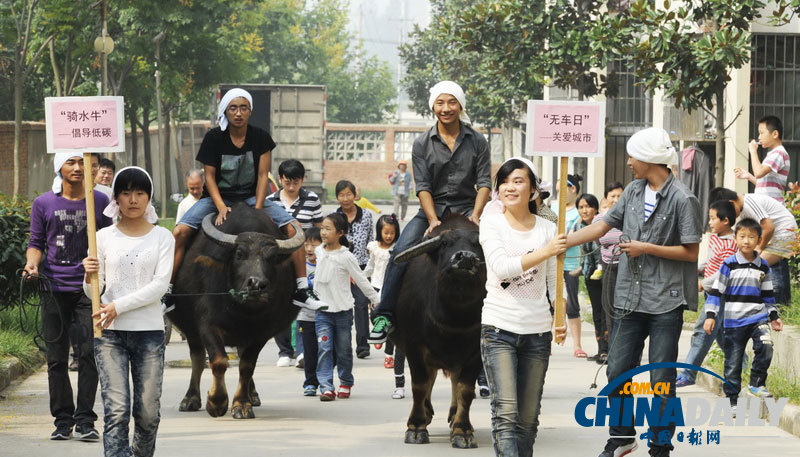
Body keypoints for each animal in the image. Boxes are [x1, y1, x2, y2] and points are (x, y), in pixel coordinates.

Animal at [166, 201, 304, 418]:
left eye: (272, 258)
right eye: (239, 255)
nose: (256, 285)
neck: (242, 310)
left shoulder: (261, 333)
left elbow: (247, 366)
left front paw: (242, 404)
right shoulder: (206, 325)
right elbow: (219, 361)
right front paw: (216, 402)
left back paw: (252, 395)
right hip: (190, 330)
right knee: (197, 359)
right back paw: (190, 399)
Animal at [390, 216, 484, 448]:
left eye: (478, 244)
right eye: (445, 243)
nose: (465, 257)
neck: (454, 319)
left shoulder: (476, 351)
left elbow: (465, 390)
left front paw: (462, 430)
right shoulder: (414, 346)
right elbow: (420, 385)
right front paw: (416, 427)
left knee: (454, 381)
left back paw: (452, 414)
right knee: (430, 378)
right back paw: (426, 412)